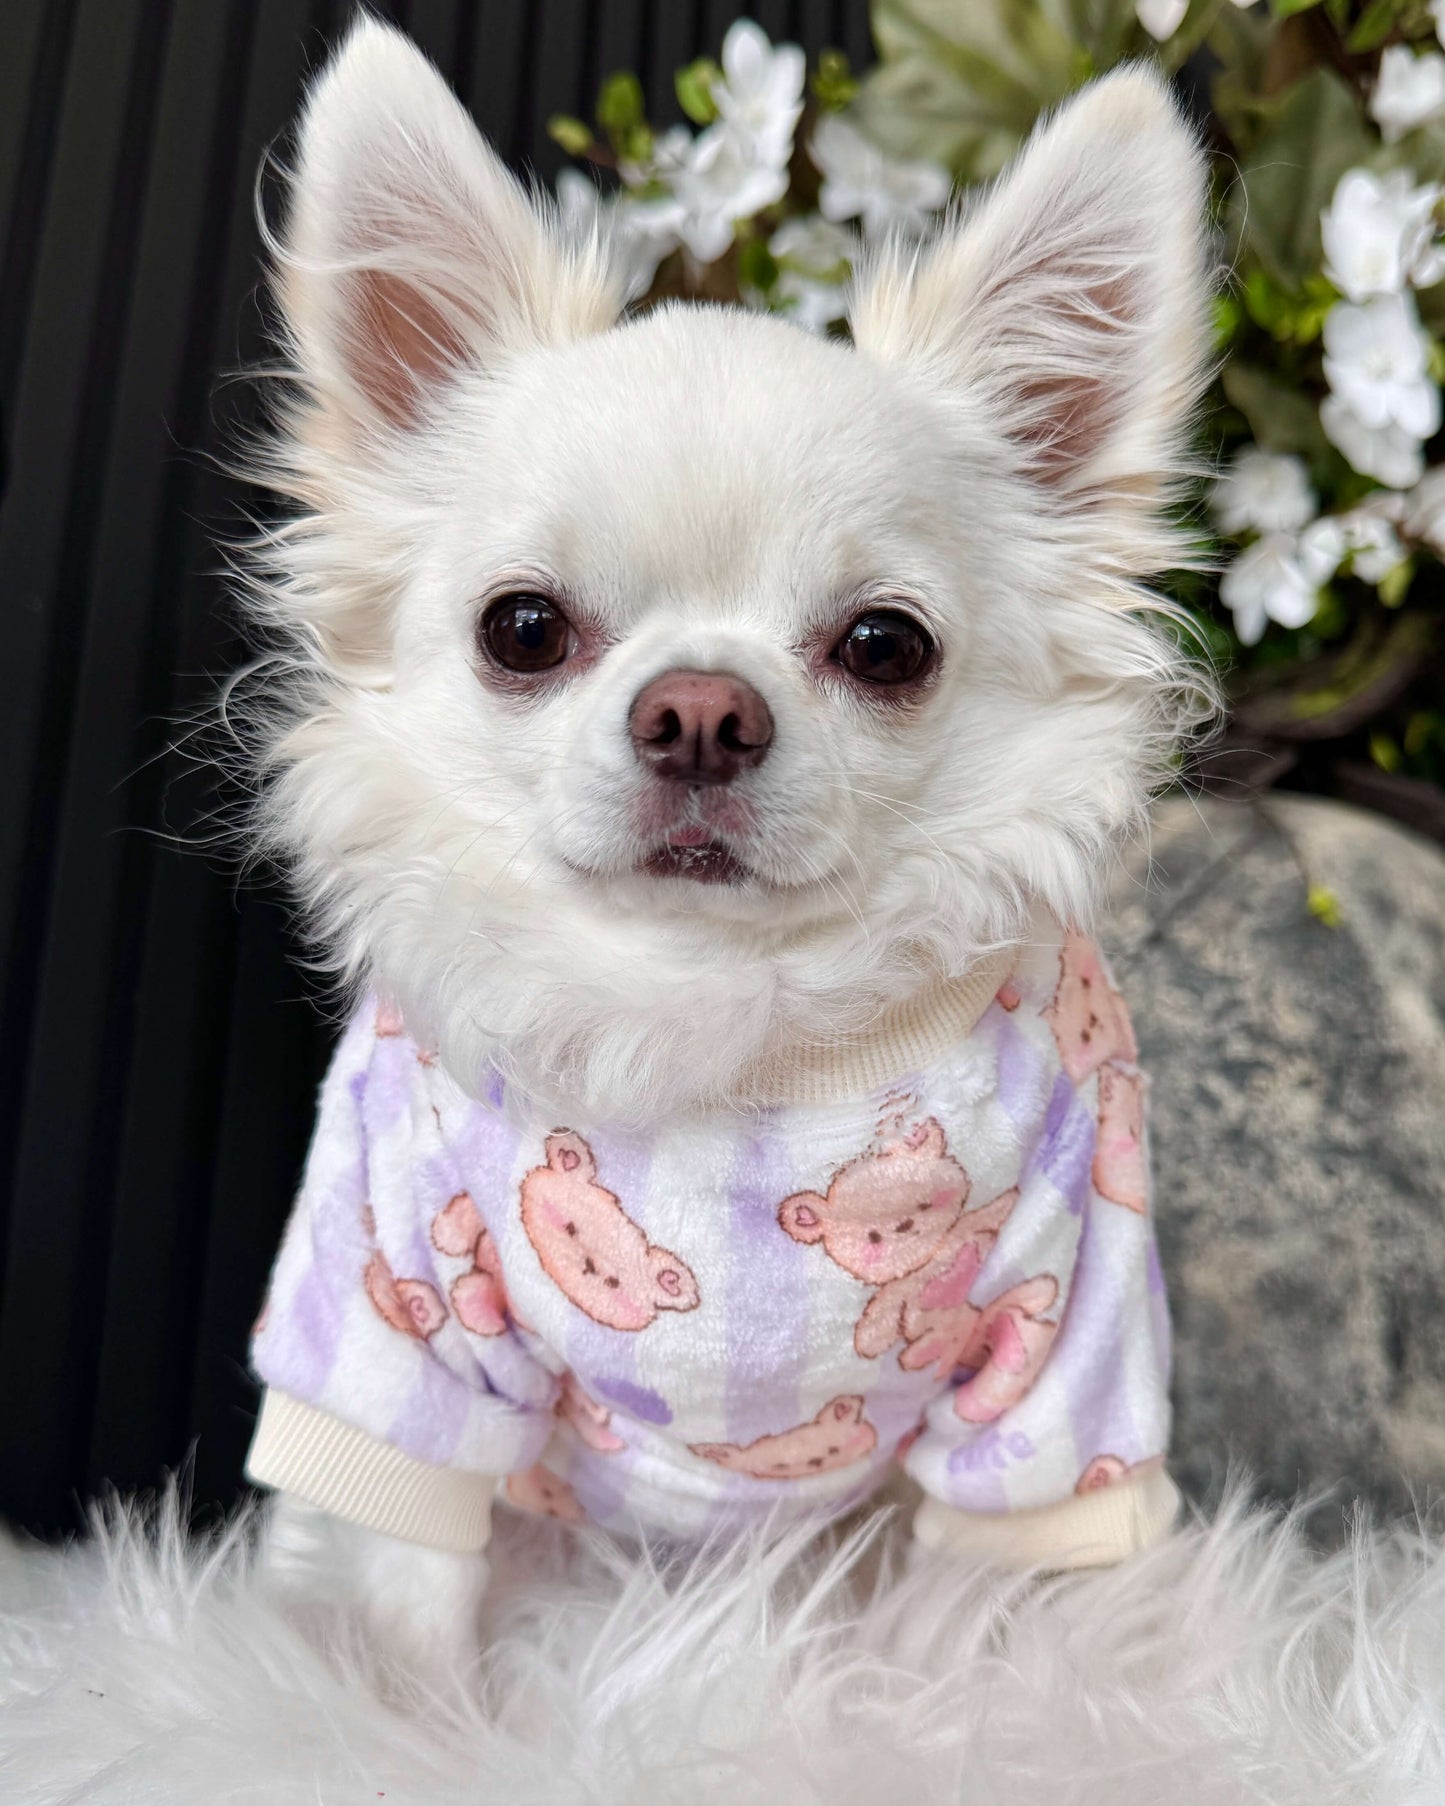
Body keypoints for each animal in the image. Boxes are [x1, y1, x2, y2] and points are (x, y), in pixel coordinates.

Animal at [777, 1115, 1020, 1364]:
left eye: (925, 1205)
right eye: (874, 1237)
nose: (904, 1225)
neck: (927, 1261)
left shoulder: (961, 1230)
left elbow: (983, 1217)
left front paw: (1006, 1203)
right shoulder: (896, 1292)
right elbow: (880, 1319)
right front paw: (867, 1342)